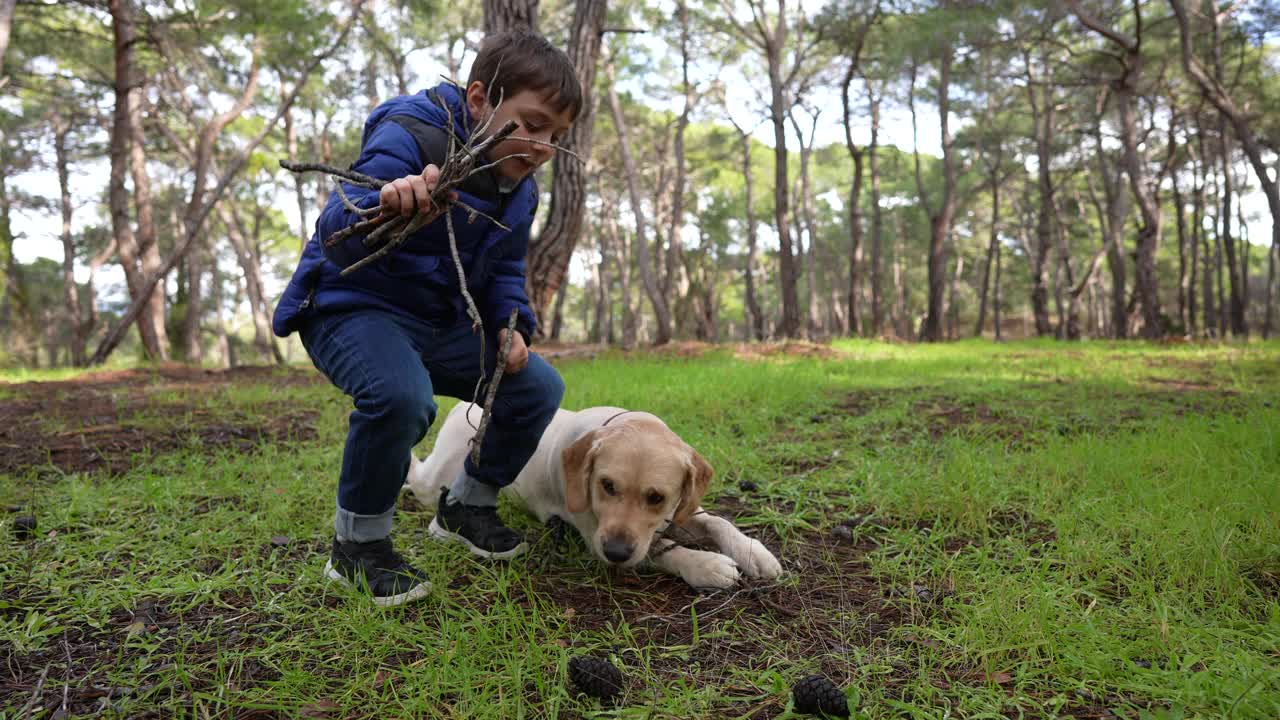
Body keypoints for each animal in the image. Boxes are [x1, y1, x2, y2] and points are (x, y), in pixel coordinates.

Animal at [404, 404, 783, 589]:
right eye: (607, 485)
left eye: (656, 497)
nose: (615, 552)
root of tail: (468, 405)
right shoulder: (594, 533)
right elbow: (663, 549)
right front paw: (704, 565)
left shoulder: (679, 512)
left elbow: (719, 522)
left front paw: (754, 552)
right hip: (436, 477)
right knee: (419, 474)